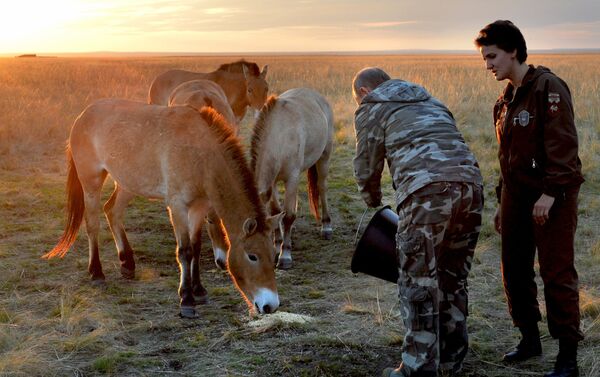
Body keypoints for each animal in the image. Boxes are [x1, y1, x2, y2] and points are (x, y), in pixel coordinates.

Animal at [43, 98, 282, 316]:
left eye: (273, 255)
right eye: (252, 256)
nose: (270, 305)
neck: (200, 153)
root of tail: (83, 115)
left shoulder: (199, 207)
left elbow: (195, 247)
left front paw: (199, 290)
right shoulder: (177, 206)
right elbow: (185, 251)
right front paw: (186, 299)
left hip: (128, 183)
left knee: (112, 211)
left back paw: (127, 263)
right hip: (91, 181)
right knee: (93, 223)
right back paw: (96, 273)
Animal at [248, 86, 332, 268]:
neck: (279, 137)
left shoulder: (291, 178)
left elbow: (287, 216)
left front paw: (285, 255)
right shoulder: (272, 183)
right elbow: (275, 211)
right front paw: (277, 245)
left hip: (324, 157)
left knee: (322, 188)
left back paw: (326, 227)